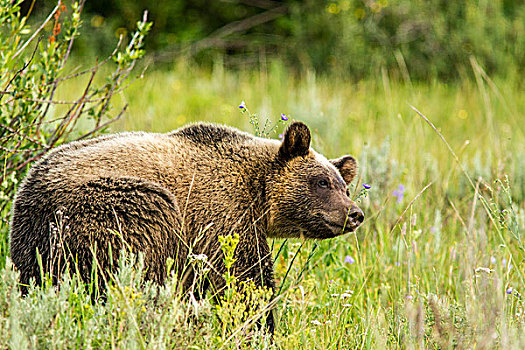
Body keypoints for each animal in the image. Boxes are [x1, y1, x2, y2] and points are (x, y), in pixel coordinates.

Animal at [9, 120, 360, 330]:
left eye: (344, 185)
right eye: (322, 182)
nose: (355, 213)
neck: (258, 193)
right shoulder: (222, 216)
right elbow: (244, 279)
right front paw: (261, 327)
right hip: (116, 205)